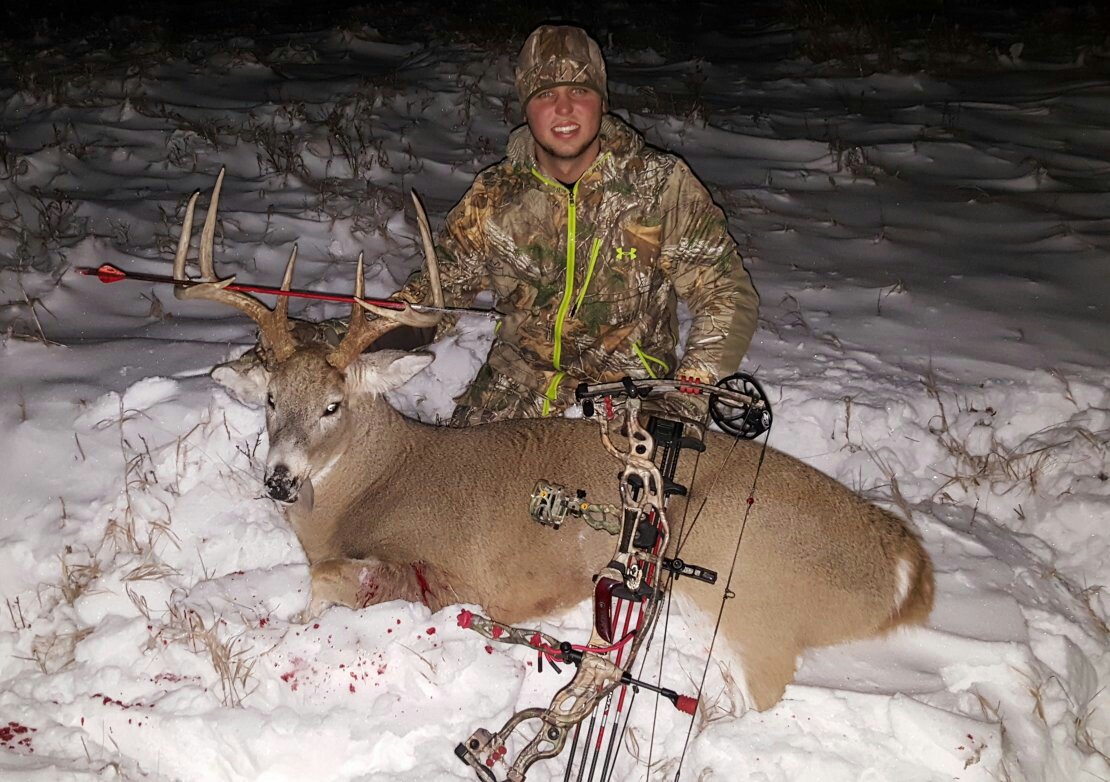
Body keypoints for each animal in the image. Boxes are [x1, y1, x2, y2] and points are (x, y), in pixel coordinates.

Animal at [171, 171, 934, 712]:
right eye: (271, 399)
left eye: (333, 405)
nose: (278, 478)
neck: (375, 482)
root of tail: (908, 571)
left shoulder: (442, 573)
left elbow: (329, 582)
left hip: (747, 596)